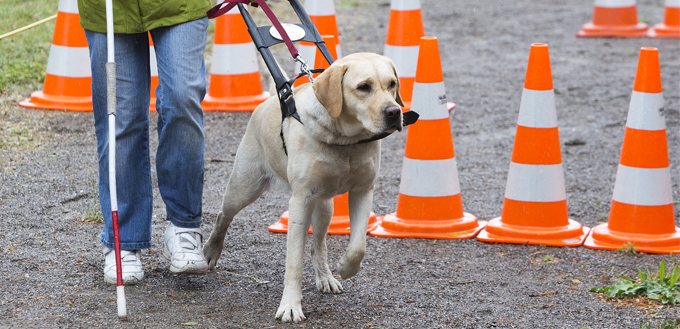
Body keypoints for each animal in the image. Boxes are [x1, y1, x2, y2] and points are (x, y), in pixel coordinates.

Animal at [202, 52, 404, 322]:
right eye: (364, 87)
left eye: (392, 84)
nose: (394, 111)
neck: (345, 141)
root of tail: (268, 101)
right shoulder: (300, 202)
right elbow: (294, 262)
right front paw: (290, 305)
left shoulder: (363, 191)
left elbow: (358, 246)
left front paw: (346, 267)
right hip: (243, 188)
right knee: (223, 216)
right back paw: (211, 250)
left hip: (325, 207)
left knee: (318, 245)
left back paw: (326, 276)